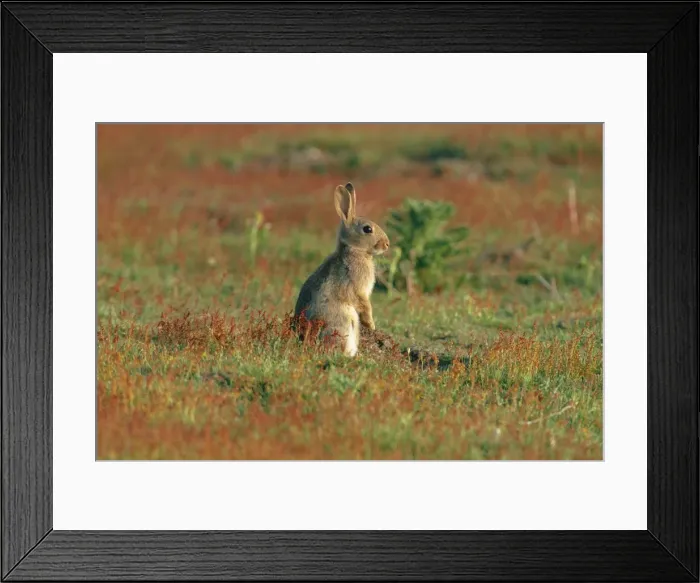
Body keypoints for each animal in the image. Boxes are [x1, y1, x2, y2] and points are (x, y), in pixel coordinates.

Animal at [294, 182, 390, 357]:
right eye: (367, 229)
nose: (387, 244)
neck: (354, 250)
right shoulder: (358, 289)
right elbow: (365, 305)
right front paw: (371, 325)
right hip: (343, 322)